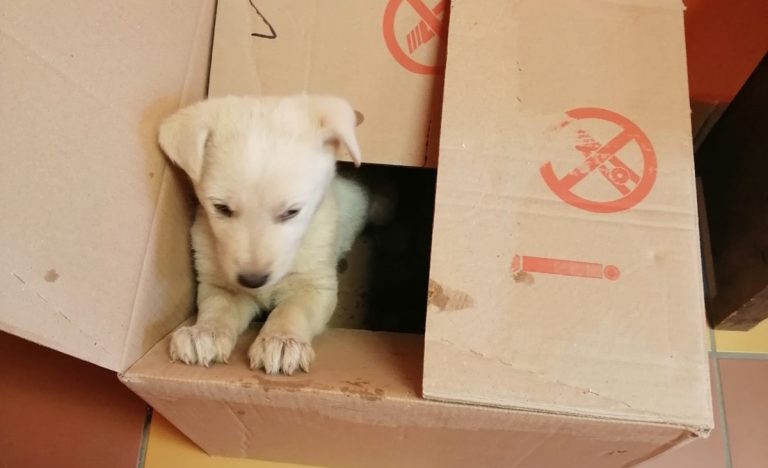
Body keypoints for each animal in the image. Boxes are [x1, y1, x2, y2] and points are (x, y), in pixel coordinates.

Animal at [157, 93, 368, 374]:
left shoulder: (315, 285)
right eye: (221, 208)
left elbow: (292, 309)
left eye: (292, 212)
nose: (252, 280)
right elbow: (218, 307)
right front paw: (203, 332)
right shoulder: (221, 284)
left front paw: (281, 340)